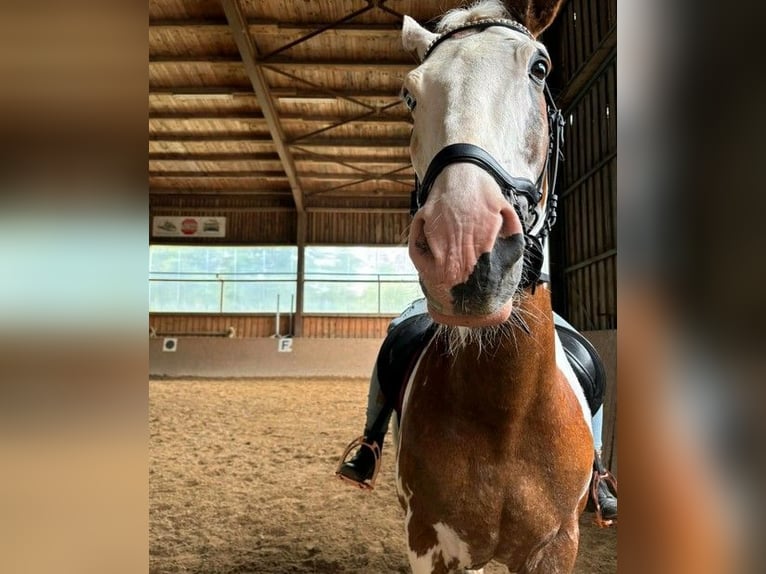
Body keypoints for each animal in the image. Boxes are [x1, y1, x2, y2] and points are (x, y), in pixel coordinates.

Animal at [392, 1, 596, 574]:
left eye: (540, 68)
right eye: (410, 94)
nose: (462, 246)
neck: (506, 414)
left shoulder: (558, 544)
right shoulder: (428, 540)